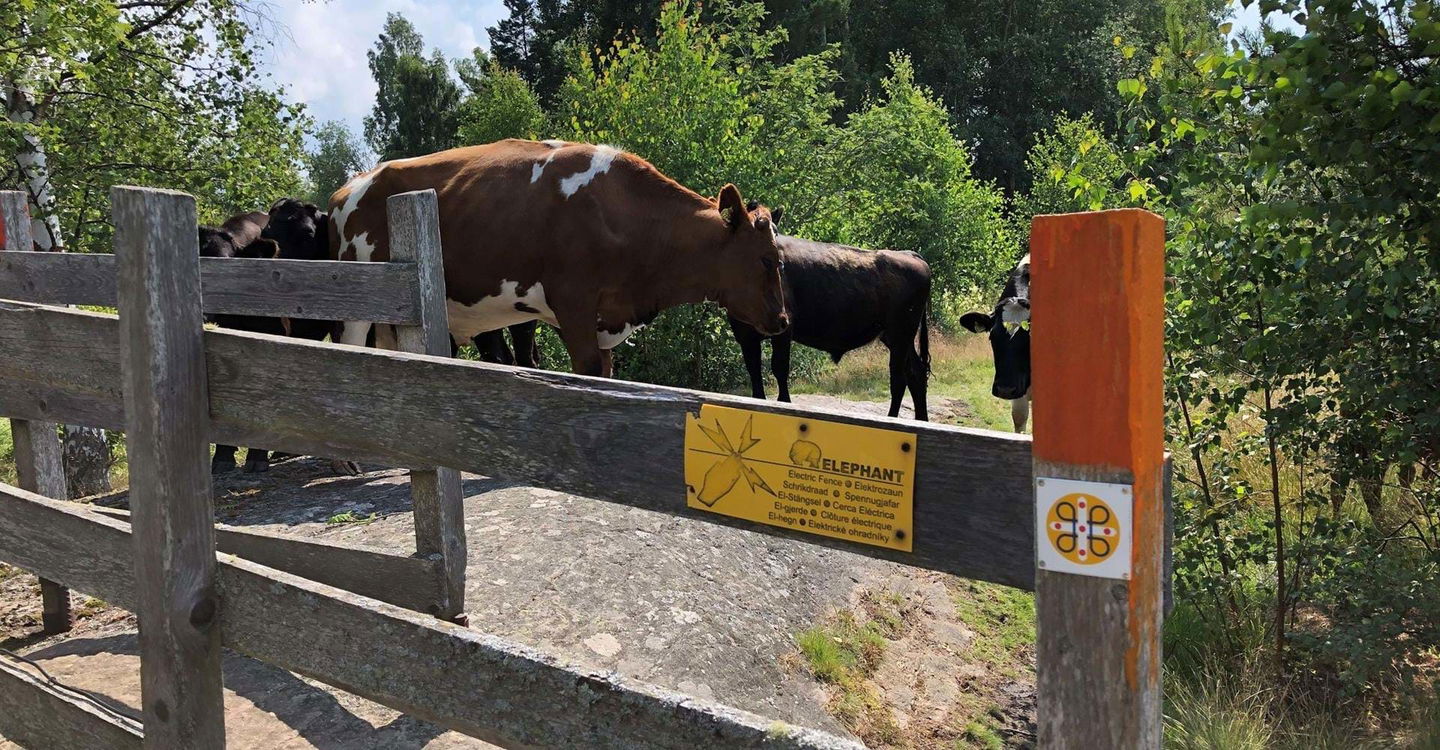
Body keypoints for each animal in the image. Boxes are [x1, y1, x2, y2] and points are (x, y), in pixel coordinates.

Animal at [329, 138, 789, 374]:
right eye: (768, 260)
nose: (784, 320)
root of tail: (348, 187)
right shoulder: (574, 303)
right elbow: (587, 370)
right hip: (357, 301)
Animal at [731, 231, 933, 417]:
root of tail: (909, 255)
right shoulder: (745, 335)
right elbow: (754, 373)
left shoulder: (783, 330)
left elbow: (779, 368)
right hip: (895, 337)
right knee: (915, 373)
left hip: (901, 334)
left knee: (899, 378)